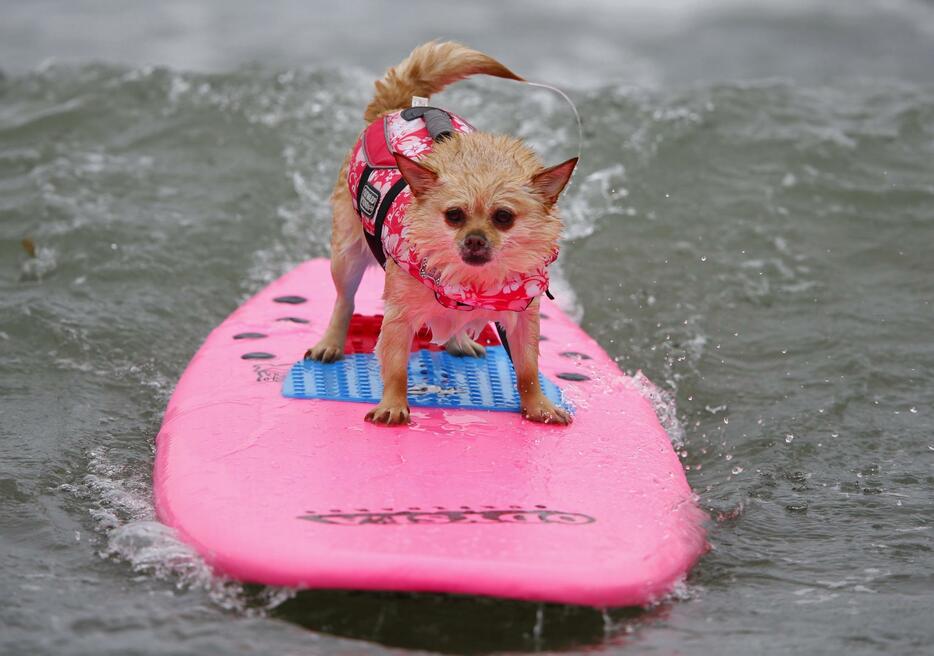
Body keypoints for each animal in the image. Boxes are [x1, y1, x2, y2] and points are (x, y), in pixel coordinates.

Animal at [308, 43, 576, 428]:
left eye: (504, 217)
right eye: (454, 216)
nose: (475, 239)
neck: (471, 284)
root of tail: (397, 107)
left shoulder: (524, 317)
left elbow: (527, 367)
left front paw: (538, 405)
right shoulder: (399, 316)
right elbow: (395, 367)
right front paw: (393, 404)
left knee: (452, 324)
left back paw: (459, 341)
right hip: (346, 255)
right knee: (345, 301)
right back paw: (331, 341)